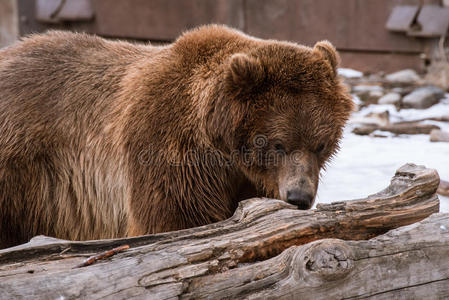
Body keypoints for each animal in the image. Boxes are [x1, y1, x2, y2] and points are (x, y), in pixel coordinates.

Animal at [0, 24, 354, 247]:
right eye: (277, 143)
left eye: (321, 144)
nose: (299, 197)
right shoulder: (169, 149)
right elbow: (176, 220)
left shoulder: (250, 177)